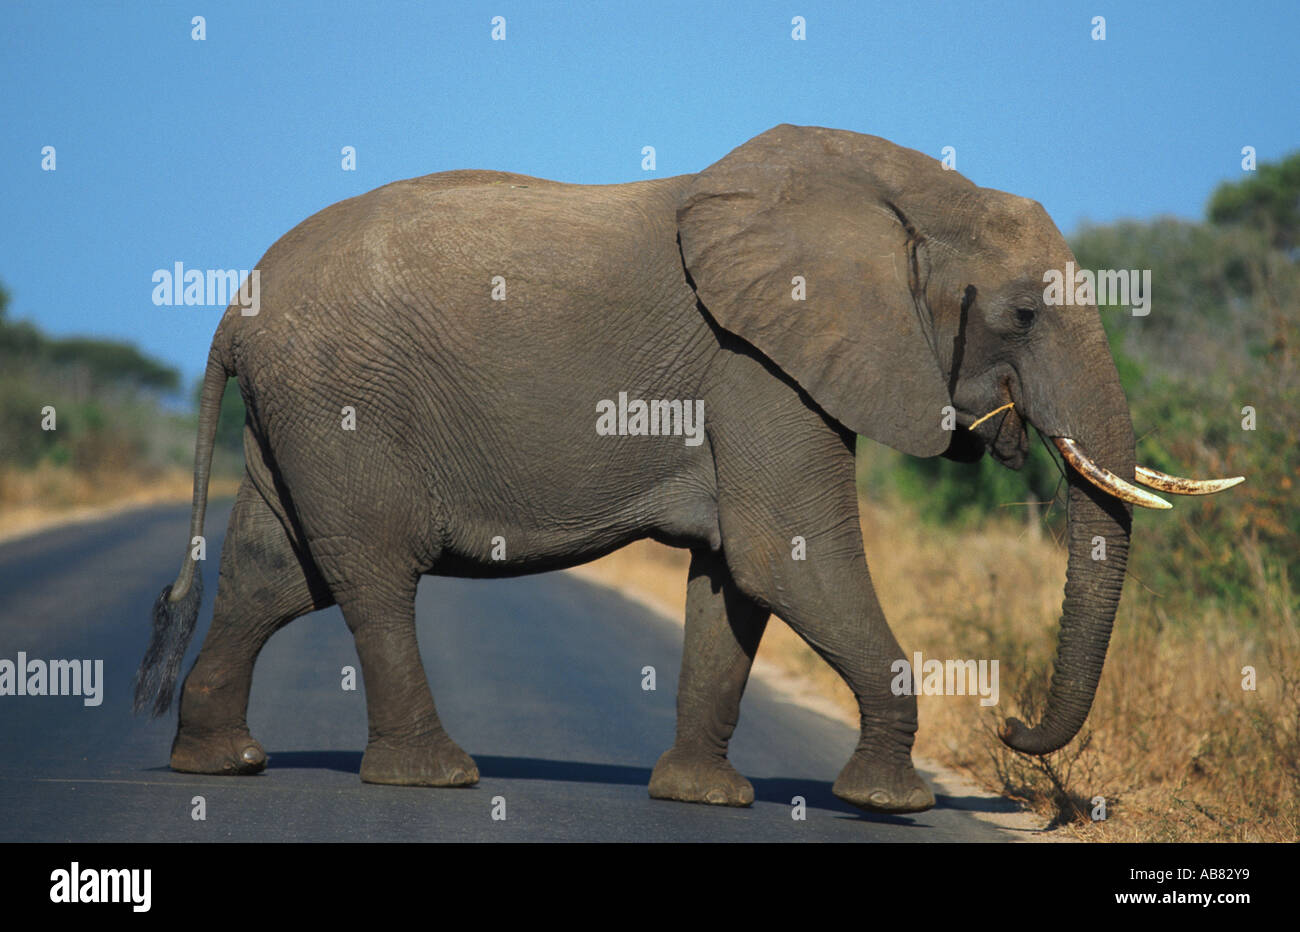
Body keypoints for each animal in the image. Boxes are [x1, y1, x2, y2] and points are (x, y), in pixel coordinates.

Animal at [134, 124, 1241, 814]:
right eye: (1020, 314)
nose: (1008, 725)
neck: (915, 194)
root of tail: (233, 308)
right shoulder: (757, 360)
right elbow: (787, 552)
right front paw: (893, 802)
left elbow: (734, 580)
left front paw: (703, 797)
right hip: (343, 402)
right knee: (368, 573)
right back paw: (434, 777)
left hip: (301, 414)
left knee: (274, 574)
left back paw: (220, 761)